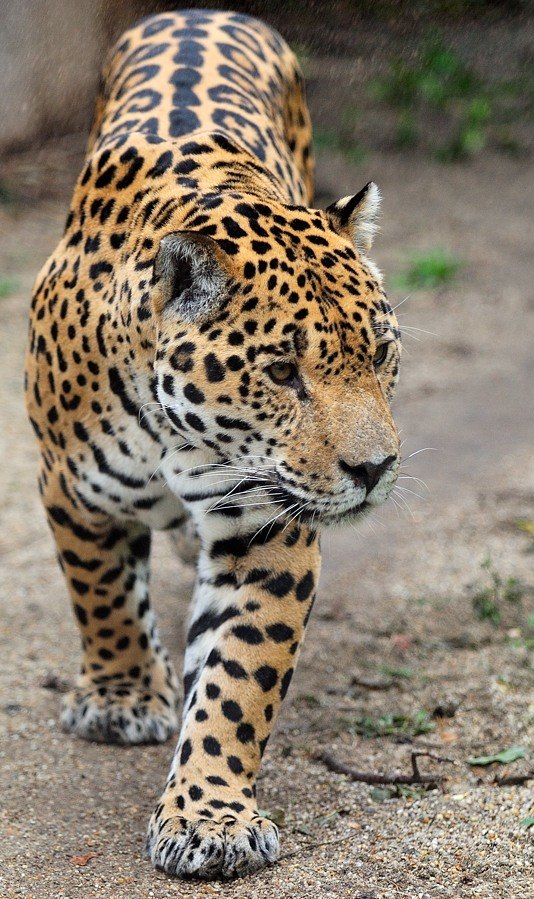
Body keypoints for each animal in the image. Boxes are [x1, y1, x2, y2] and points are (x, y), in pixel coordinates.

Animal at [25, 8, 402, 880]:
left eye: (379, 352)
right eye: (282, 371)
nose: (375, 469)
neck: (179, 429)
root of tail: (205, 11)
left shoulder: (268, 527)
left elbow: (238, 678)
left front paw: (211, 816)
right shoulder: (71, 488)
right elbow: (101, 598)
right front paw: (124, 697)